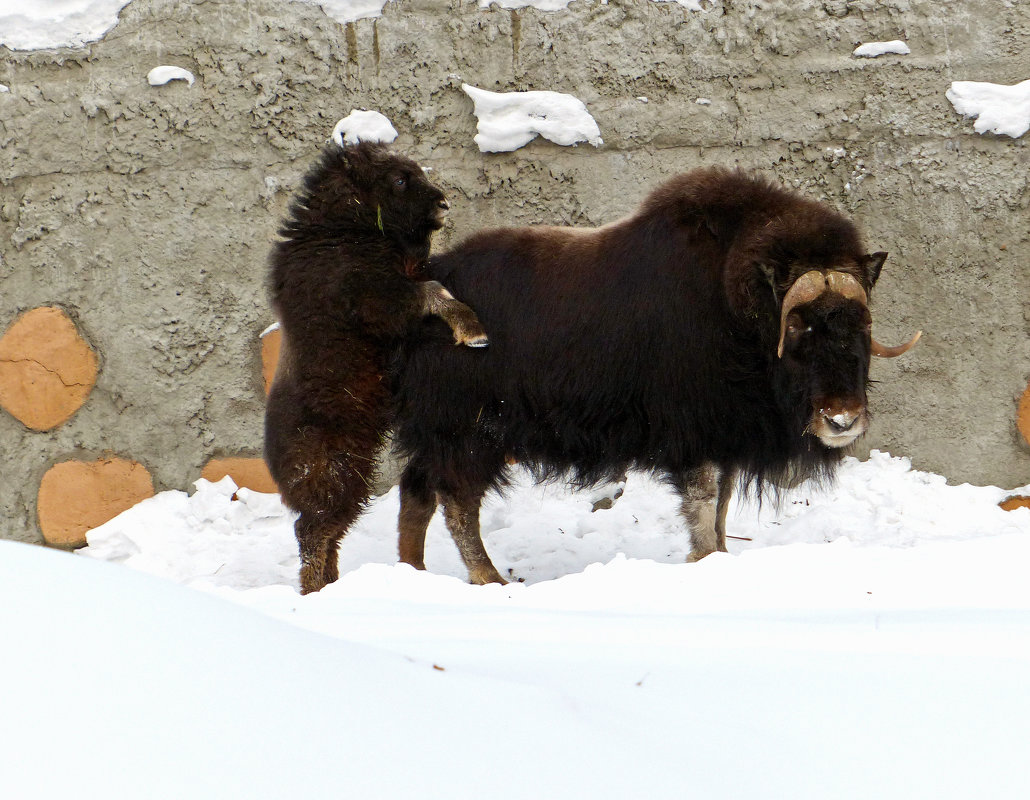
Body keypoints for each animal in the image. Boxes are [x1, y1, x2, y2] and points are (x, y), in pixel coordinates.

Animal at [265, 142, 490, 593]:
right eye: (400, 179)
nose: (442, 203)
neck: (340, 231)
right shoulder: (383, 300)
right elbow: (432, 290)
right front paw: (474, 332)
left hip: (356, 478)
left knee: (329, 534)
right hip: (341, 478)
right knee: (312, 531)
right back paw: (315, 589)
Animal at [387, 165, 918, 584]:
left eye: (860, 323)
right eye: (799, 324)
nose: (842, 419)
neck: (737, 312)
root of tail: (424, 285)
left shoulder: (725, 433)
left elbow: (722, 504)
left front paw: (721, 557)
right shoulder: (695, 432)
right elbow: (704, 501)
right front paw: (705, 560)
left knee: (417, 493)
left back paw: (412, 572)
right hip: (469, 431)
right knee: (457, 500)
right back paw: (489, 578)